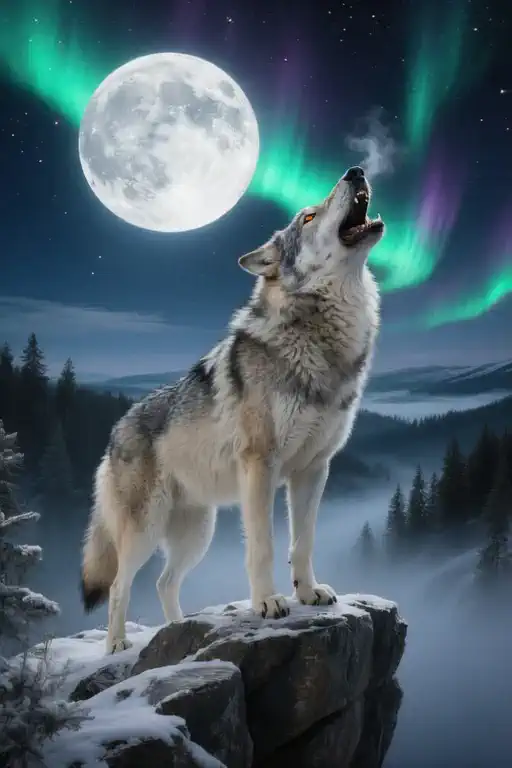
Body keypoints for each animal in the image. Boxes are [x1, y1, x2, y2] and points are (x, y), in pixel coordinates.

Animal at [81, 165, 385, 654]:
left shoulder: (314, 469)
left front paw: (308, 593)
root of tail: (115, 430)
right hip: (145, 530)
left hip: (196, 533)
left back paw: (175, 632)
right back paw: (116, 645)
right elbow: (263, 545)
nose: (355, 171)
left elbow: (303, 542)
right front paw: (267, 603)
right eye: (308, 216)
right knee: (117, 586)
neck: (319, 341)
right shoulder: (261, 466)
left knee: (164, 582)